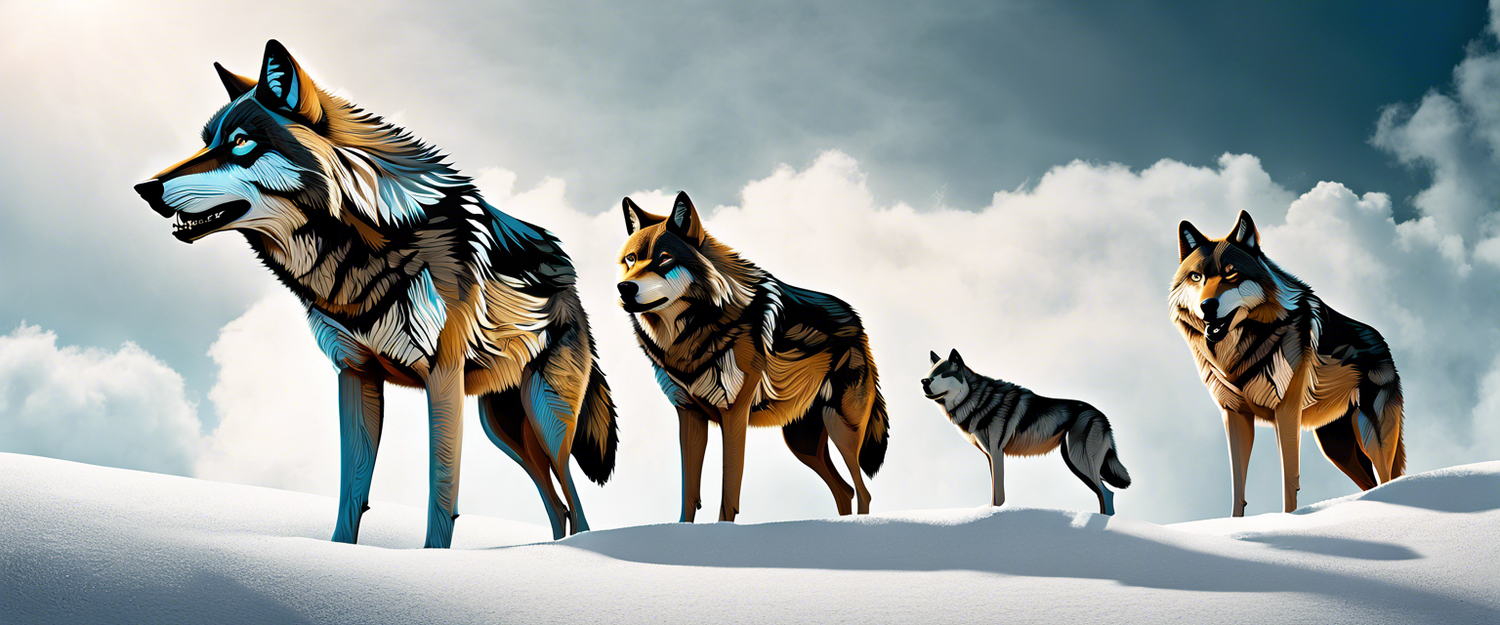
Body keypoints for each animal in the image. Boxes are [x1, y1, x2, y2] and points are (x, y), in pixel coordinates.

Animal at [132, 40, 618, 545]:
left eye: (241, 142)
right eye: (206, 142)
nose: (145, 188)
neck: (362, 244)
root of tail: (571, 284)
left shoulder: (442, 378)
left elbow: (441, 489)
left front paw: (431, 557)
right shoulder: (354, 373)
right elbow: (352, 486)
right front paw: (339, 552)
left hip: (544, 419)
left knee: (572, 496)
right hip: (504, 428)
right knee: (556, 503)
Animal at [612, 191, 882, 518]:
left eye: (664, 259)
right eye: (631, 259)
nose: (624, 288)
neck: (688, 334)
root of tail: (856, 318)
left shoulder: (734, 413)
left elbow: (729, 491)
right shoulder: (688, 415)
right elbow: (689, 492)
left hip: (841, 427)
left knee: (863, 491)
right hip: (801, 442)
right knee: (845, 490)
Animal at [918, 347, 1128, 512]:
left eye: (943, 374)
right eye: (930, 374)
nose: (924, 382)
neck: (976, 400)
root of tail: (1102, 416)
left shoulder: (996, 452)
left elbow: (998, 495)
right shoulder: (989, 455)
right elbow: (993, 492)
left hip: (1079, 461)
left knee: (1107, 493)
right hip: (1073, 460)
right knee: (1104, 493)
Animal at [1170, 211, 1404, 512]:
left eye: (1231, 273)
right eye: (1196, 277)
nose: (1207, 306)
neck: (1240, 350)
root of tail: (1383, 343)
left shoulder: (1287, 412)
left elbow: (1289, 479)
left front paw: (1289, 517)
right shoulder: (1234, 415)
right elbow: (1237, 487)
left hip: (1371, 436)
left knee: (1387, 477)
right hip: (1336, 448)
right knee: (1370, 483)